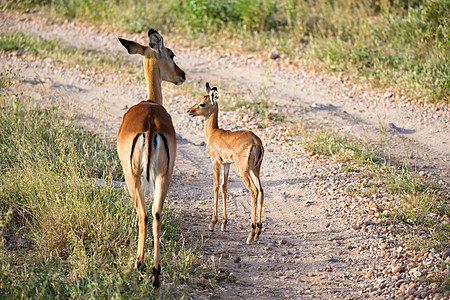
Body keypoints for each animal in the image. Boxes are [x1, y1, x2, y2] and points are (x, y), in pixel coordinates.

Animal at [118, 28, 186, 288]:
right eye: (172, 54)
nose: (182, 75)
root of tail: (149, 123)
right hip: (162, 177)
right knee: (156, 214)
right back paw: (155, 273)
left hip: (134, 177)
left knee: (144, 215)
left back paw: (142, 267)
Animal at [186, 82, 264, 244]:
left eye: (202, 103)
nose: (189, 111)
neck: (214, 133)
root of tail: (256, 142)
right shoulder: (226, 164)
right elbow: (224, 187)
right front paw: (224, 224)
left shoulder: (215, 162)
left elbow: (215, 186)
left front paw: (212, 223)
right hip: (255, 170)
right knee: (261, 191)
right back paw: (258, 232)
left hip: (244, 171)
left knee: (253, 191)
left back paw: (250, 235)